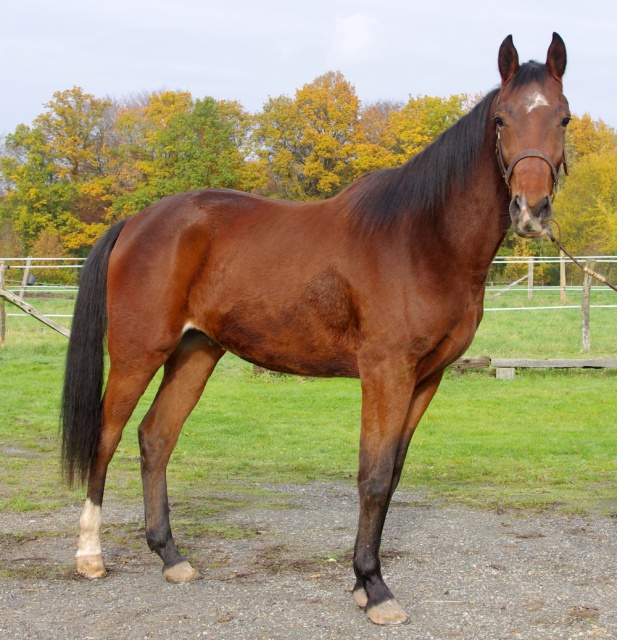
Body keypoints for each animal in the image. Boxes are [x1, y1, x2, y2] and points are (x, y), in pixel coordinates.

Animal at [61, 33, 568, 624]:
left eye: (563, 117)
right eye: (501, 120)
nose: (531, 210)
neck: (422, 237)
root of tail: (137, 222)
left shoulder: (427, 378)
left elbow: (393, 473)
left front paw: (363, 581)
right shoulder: (386, 373)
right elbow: (373, 476)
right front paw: (374, 588)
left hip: (196, 352)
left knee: (156, 438)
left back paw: (171, 557)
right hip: (138, 352)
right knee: (107, 437)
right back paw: (90, 556)